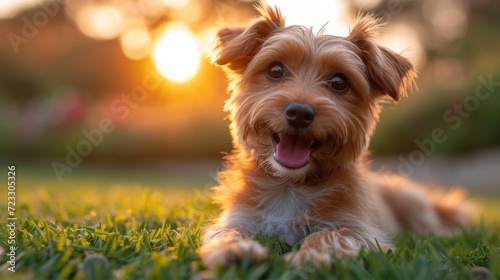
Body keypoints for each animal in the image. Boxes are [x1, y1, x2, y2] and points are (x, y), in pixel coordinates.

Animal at [198, 2, 468, 270]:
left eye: (339, 81)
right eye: (275, 70)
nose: (299, 113)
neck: (290, 186)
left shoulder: (360, 230)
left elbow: (330, 236)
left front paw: (306, 257)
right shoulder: (240, 217)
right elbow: (225, 232)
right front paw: (232, 249)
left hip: (412, 200)